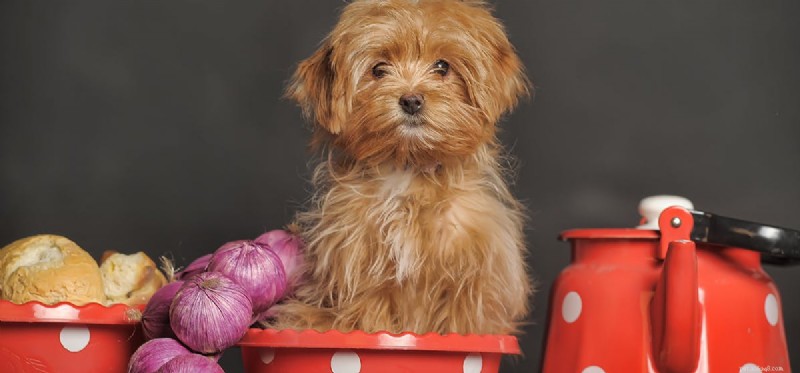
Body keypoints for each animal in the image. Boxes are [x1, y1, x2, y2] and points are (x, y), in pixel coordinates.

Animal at [276, 0, 532, 334]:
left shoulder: (473, 275)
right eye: (378, 70)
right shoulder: (360, 269)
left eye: (442, 67)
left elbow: (462, 321)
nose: (411, 100)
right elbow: (371, 313)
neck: (408, 168)